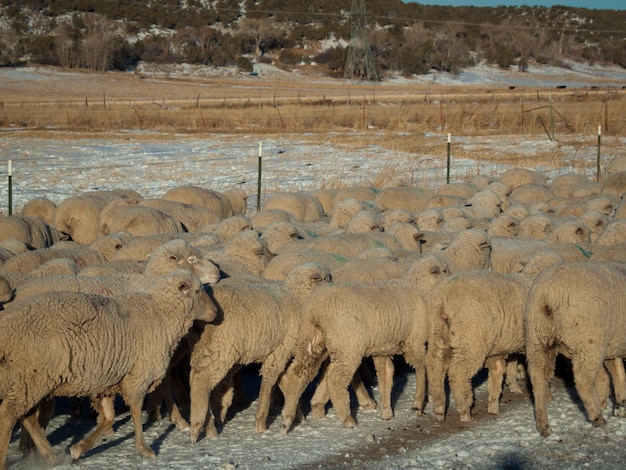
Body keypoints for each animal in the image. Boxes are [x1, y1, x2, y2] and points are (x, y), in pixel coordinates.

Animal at [0, 268, 217, 466]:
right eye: (198, 291)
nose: (216, 312)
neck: (160, 315)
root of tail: (6, 327)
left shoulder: (108, 379)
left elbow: (109, 418)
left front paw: (78, 448)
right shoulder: (137, 375)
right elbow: (135, 410)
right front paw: (144, 448)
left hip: (28, 380)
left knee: (26, 416)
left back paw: (50, 456)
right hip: (32, 376)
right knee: (8, 417)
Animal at [186, 260, 330, 440]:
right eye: (323, 279)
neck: (296, 298)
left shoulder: (276, 352)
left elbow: (280, 381)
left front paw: (297, 415)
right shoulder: (281, 349)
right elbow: (270, 381)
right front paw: (261, 422)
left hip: (201, 346)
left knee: (195, 378)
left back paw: (208, 424)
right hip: (221, 347)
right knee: (201, 381)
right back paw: (202, 428)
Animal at [278, 253, 448, 434]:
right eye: (443, 271)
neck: (419, 290)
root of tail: (317, 307)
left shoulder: (383, 349)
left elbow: (386, 376)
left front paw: (386, 411)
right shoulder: (414, 341)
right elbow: (422, 368)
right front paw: (418, 404)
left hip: (314, 341)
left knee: (298, 374)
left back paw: (288, 418)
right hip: (348, 345)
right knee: (335, 379)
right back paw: (347, 419)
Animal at [520, 260, 624, 436]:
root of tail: (549, 291)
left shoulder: (613, 345)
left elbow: (617, 373)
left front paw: (621, 406)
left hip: (537, 337)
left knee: (537, 378)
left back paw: (543, 425)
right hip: (589, 340)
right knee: (582, 379)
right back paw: (597, 417)